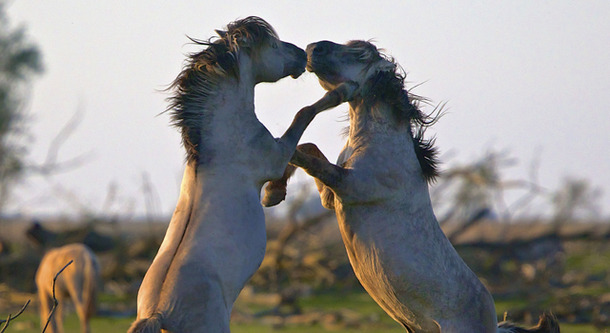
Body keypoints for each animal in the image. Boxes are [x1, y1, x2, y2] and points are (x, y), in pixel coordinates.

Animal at [129, 18, 356, 332]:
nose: (302, 55)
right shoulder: (274, 156)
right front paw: (342, 91)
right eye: (273, 45)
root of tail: (158, 312)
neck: (222, 141)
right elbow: (303, 116)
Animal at [262, 40, 556, 332]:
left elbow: (301, 154)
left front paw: (270, 188)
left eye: (359, 54)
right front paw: (273, 192)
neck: (380, 140)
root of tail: (493, 323)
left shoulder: (351, 186)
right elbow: (307, 148)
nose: (313, 49)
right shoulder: (332, 197)